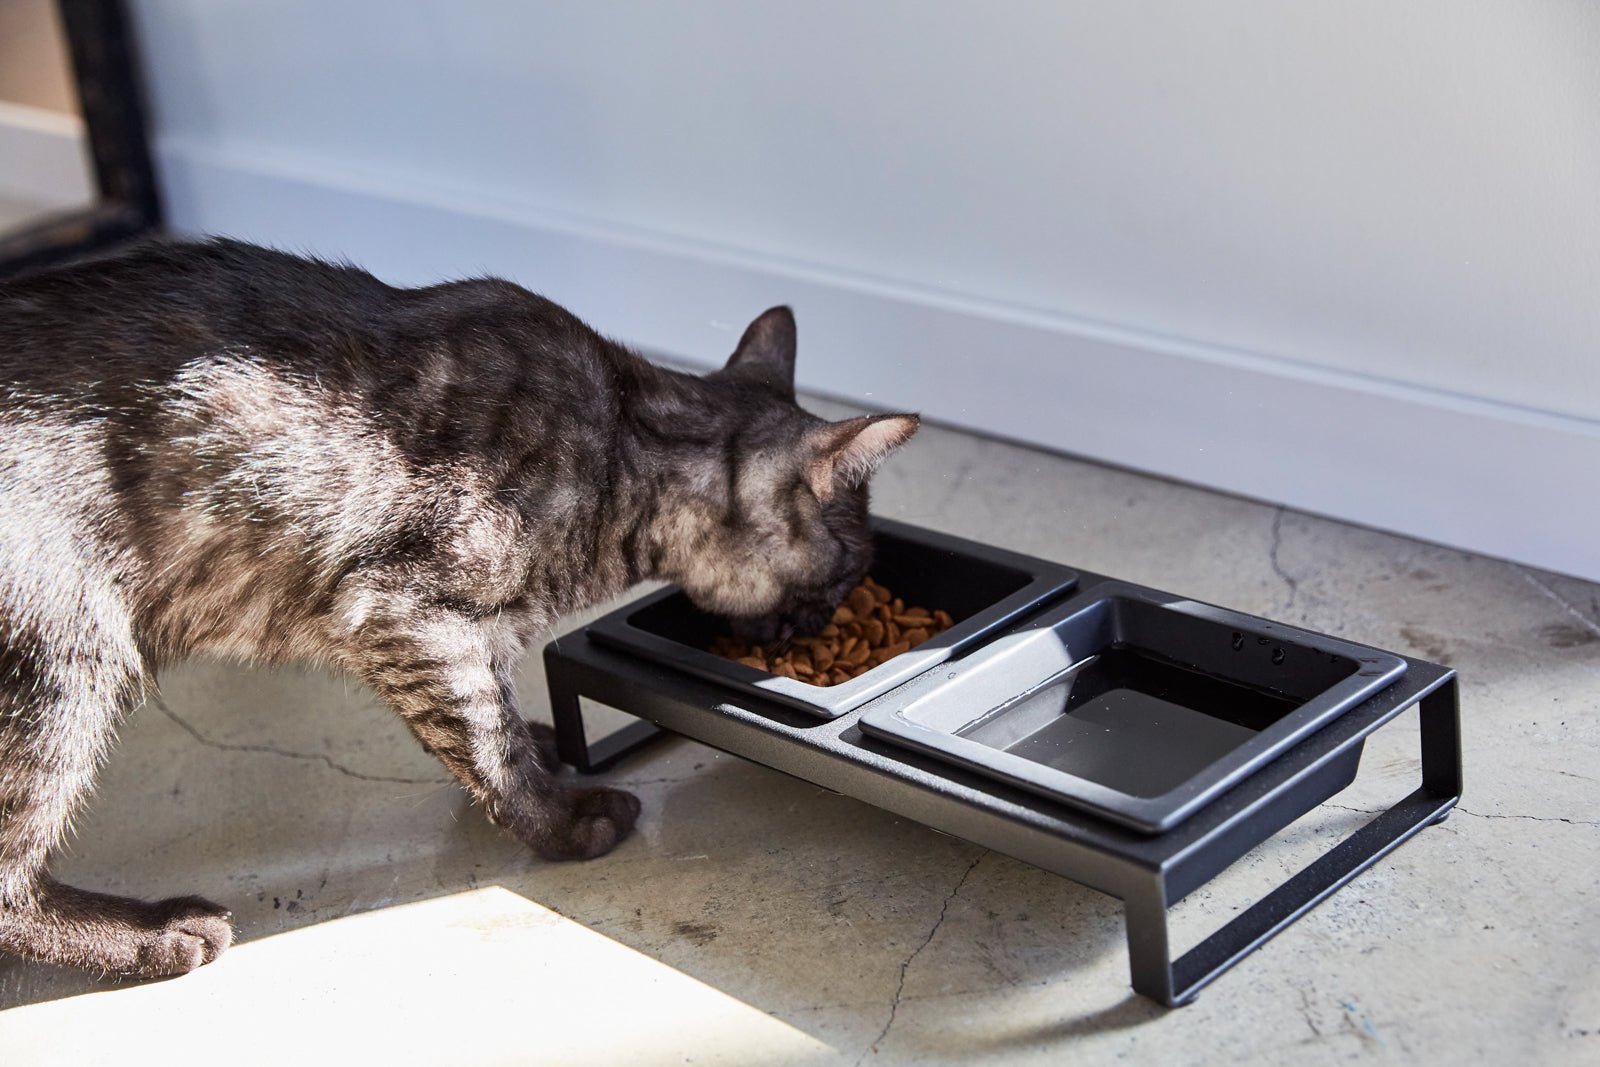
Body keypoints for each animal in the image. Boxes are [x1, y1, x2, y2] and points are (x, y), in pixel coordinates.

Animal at [0, 239, 921, 979]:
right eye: (851, 571)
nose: (826, 619)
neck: (628, 449)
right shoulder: (409, 616)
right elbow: (488, 737)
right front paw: (563, 820)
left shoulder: (442, 635)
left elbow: (487, 721)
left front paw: (542, 753)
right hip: (69, 660)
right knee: (10, 876)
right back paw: (154, 938)